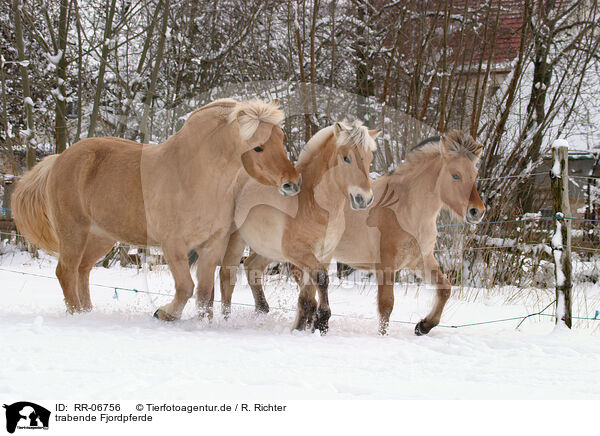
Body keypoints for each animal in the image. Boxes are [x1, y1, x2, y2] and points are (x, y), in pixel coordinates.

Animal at [11, 99, 298, 318]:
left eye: (281, 138)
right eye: (258, 147)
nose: (292, 184)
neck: (194, 176)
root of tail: (59, 159)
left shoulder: (212, 246)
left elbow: (205, 294)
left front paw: (203, 323)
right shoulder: (173, 246)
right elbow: (185, 287)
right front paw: (165, 314)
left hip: (100, 237)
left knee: (82, 270)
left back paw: (87, 312)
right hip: (73, 231)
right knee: (66, 271)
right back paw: (76, 316)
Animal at [209, 121, 378, 332]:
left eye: (370, 158)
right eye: (346, 158)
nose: (364, 199)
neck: (312, 203)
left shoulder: (322, 255)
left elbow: (308, 294)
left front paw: (305, 326)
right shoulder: (300, 253)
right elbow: (321, 280)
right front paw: (320, 322)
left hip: (268, 249)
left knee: (251, 266)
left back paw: (261, 311)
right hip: (236, 240)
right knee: (227, 276)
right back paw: (226, 319)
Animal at [223, 129, 486, 334]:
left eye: (474, 174)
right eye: (455, 175)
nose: (477, 211)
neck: (407, 209)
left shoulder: (420, 260)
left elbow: (445, 288)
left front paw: (423, 326)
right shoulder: (386, 264)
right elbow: (386, 305)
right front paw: (383, 336)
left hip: (271, 248)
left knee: (253, 266)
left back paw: (267, 312)